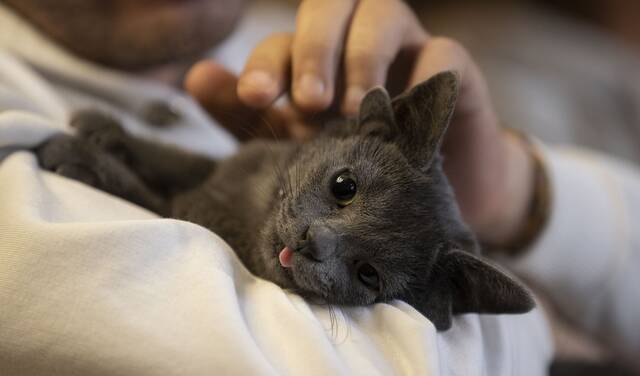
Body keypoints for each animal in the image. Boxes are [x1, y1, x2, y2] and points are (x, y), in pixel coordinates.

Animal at [36, 72, 536, 330]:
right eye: (344, 186)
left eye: (369, 274)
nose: (314, 241)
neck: (251, 202)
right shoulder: (227, 165)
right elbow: (181, 159)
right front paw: (104, 127)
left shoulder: (191, 211)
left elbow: (158, 197)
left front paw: (79, 155)